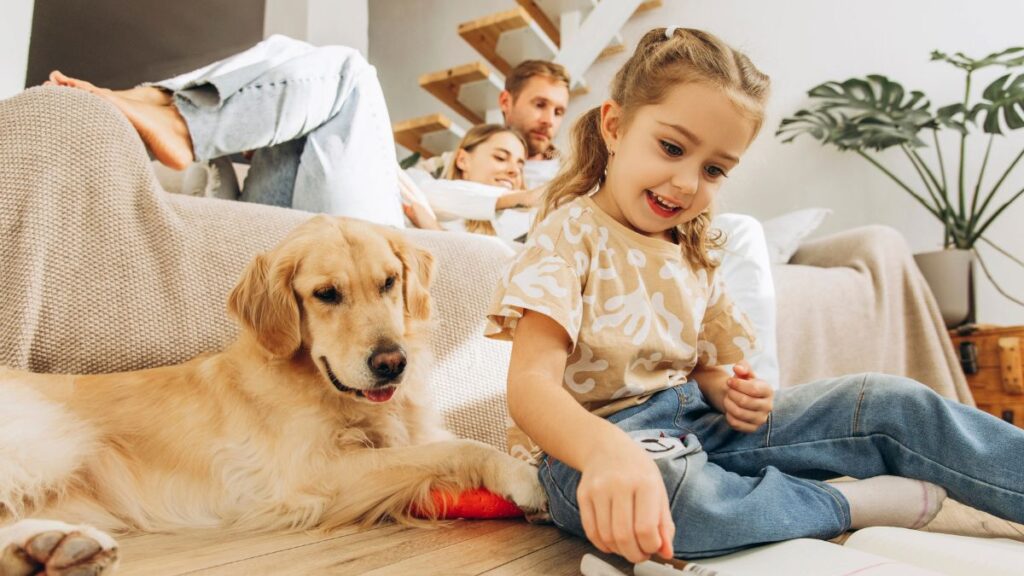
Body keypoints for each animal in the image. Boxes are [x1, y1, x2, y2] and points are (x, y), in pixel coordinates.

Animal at [0, 215, 544, 573]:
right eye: (326, 294)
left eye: (389, 282)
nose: (393, 363)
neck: (322, 389)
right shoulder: (312, 476)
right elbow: (461, 448)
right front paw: (526, 480)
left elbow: (457, 445)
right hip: (50, 440)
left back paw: (51, 546)